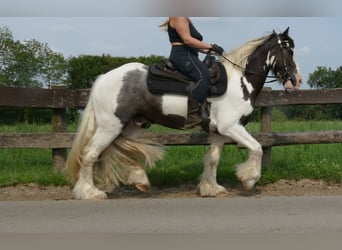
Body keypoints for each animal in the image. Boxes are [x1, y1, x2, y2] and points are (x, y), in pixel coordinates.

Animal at [65, 27, 300, 199]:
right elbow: (257, 148)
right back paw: (90, 192)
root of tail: (103, 78)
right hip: (110, 126)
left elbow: (213, 159)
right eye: (288, 50)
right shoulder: (232, 127)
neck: (240, 81)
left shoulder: (218, 132)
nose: (296, 80)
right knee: (90, 154)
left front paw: (211, 188)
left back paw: (139, 180)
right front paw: (249, 180)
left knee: (120, 149)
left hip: (132, 125)